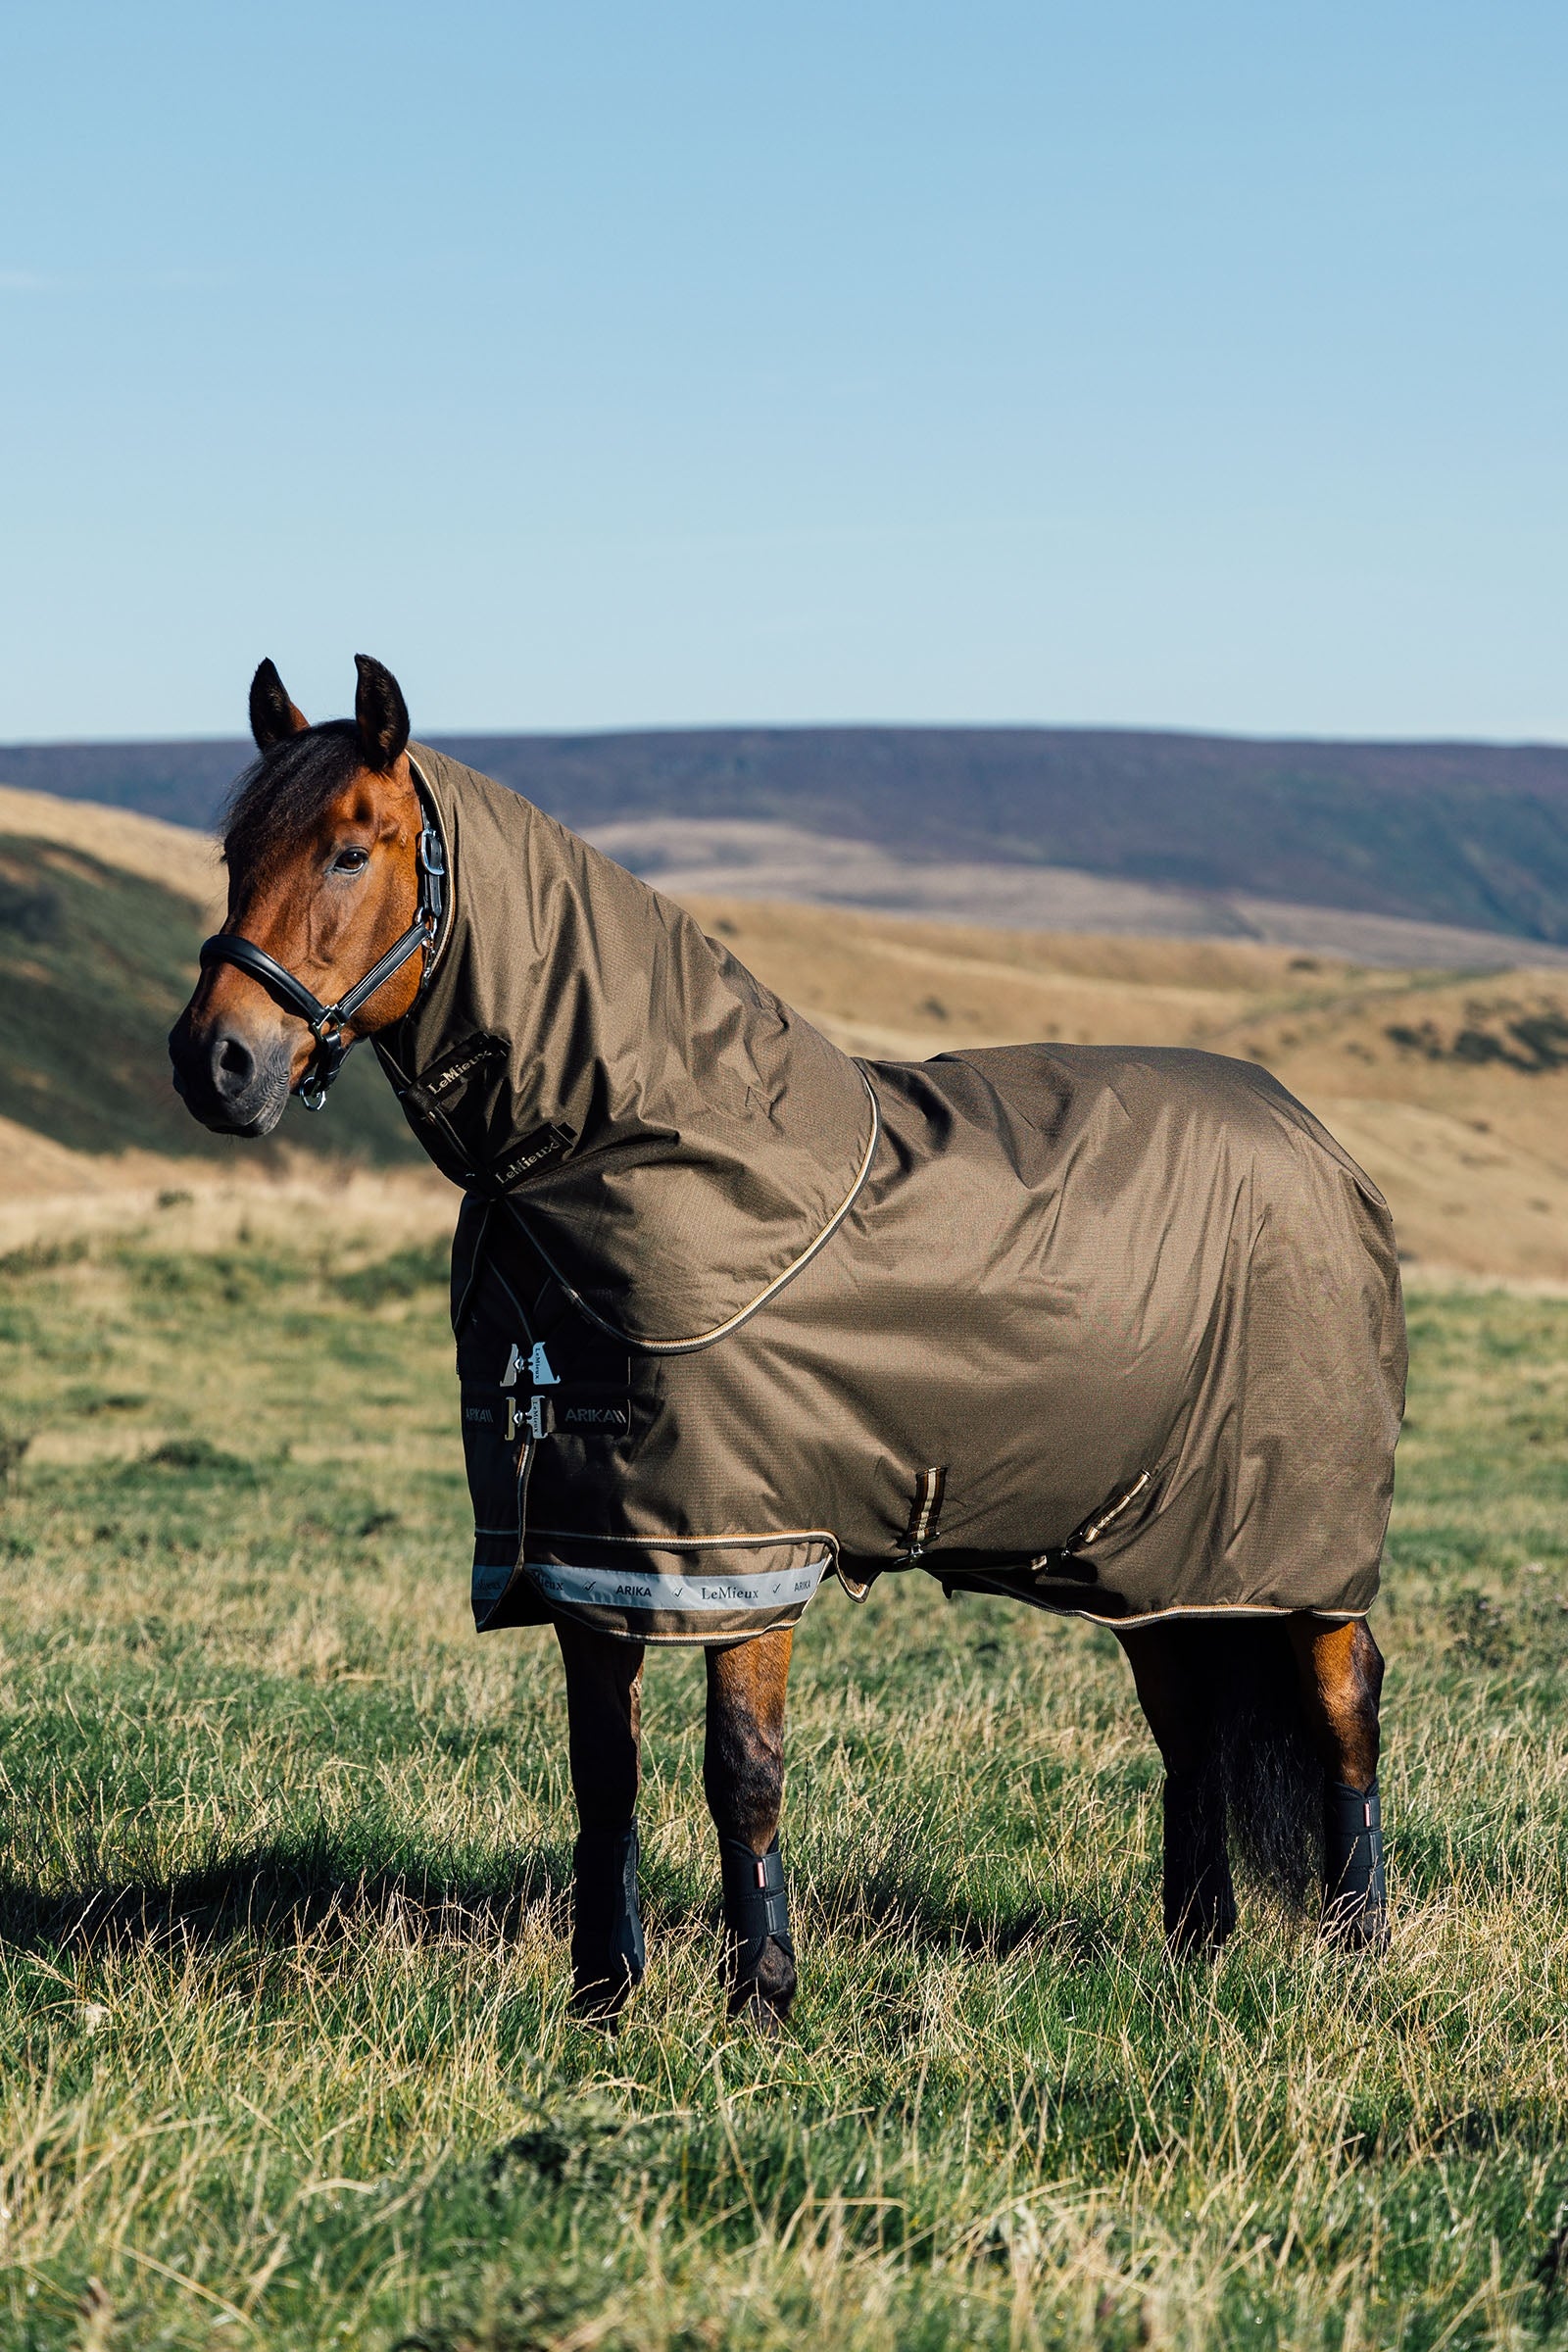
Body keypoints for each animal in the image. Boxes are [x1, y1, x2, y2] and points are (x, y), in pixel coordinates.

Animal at [168, 653, 1404, 2029]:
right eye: (234, 851)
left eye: (348, 850)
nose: (216, 1064)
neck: (647, 1144)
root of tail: (1318, 1146)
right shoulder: (590, 1556)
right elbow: (604, 1778)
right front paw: (604, 1996)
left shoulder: (742, 1549)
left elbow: (740, 1773)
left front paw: (761, 1992)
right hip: (1161, 1546)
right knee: (1189, 1723)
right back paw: (1195, 1943)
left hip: (1299, 1540)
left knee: (1344, 1708)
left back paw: (1358, 1946)